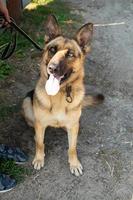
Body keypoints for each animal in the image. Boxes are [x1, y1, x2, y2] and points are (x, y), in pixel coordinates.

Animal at [22, 14, 104, 176]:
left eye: (70, 54)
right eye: (52, 50)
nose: (52, 68)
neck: (59, 94)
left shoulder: (72, 127)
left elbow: (72, 147)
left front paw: (74, 163)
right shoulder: (40, 125)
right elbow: (40, 143)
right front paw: (39, 158)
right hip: (27, 103)